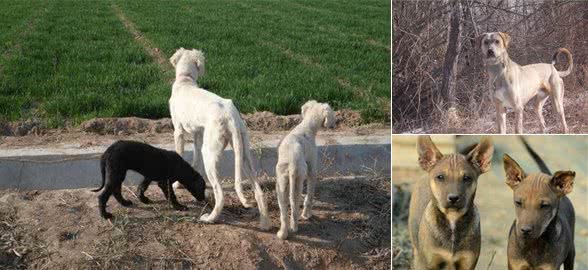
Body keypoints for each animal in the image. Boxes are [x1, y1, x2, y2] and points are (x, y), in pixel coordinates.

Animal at [169, 47, 270, 229]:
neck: (185, 80)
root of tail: (230, 115)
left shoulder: (178, 131)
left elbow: (179, 155)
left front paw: (177, 184)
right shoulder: (198, 134)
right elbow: (195, 160)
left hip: (210, 153)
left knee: (220, 195)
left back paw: (210, 218)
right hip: (243, 154)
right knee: (259, 192)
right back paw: (264, 224)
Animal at [272, 100, 334, 239]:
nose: (334, 125)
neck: (306, 127)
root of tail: (292, 164)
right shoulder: (312, 170)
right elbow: (310, 195)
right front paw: (307, 215)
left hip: (281, 182)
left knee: (284, 210)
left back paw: (282, 234)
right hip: (299, 180)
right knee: (295, 207)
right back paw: (295, 227)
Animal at [408, 137, 496, 270]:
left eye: (467, 178)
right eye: (440, 177)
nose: (453, 198)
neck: (452, 219)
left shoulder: (467, 263)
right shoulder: (430, 262)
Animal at [504, 138, 576, 268]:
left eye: (545, 206)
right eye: (518, 202)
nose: (525, 230)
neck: (534, 244)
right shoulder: (515, 264)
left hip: (571, 253)